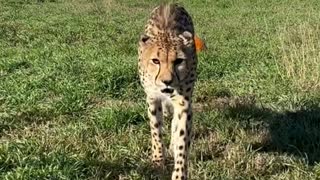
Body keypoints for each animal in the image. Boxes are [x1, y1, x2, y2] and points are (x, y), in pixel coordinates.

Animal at [138, 3, 198, 179]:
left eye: (179, 61)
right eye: (155, 61)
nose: (167, 81)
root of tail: (170, 3)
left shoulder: (183, 103)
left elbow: (182, 137)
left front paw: (179, 173)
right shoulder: (152, 98)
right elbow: (156, 131)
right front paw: (158, 160)